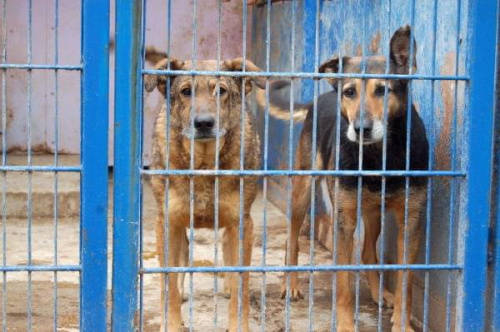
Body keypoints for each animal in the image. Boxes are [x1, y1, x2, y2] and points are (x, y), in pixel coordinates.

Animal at [145, 49, 266, 332]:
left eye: (221, 91)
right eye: (186, 92)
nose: (203, 123)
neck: (203, 164)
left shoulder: (241, 222)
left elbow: (241, 283)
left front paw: (238, 325)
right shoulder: (168, 222)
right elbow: (169, 283)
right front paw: (171, 324)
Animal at [258, 26, 430, 332]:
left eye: (383, 90)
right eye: (350, 92)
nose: (361, 129)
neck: (378, 156)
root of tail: (324, 95)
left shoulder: (411, 220)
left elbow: (406, 280)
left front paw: (401, 321)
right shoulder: (343, 222)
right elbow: (343, 283)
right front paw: (347, 324)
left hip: (373, 212)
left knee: (367, 253)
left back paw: (380, 293)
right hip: (302, 192)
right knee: (293, 239)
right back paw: (291, 285)